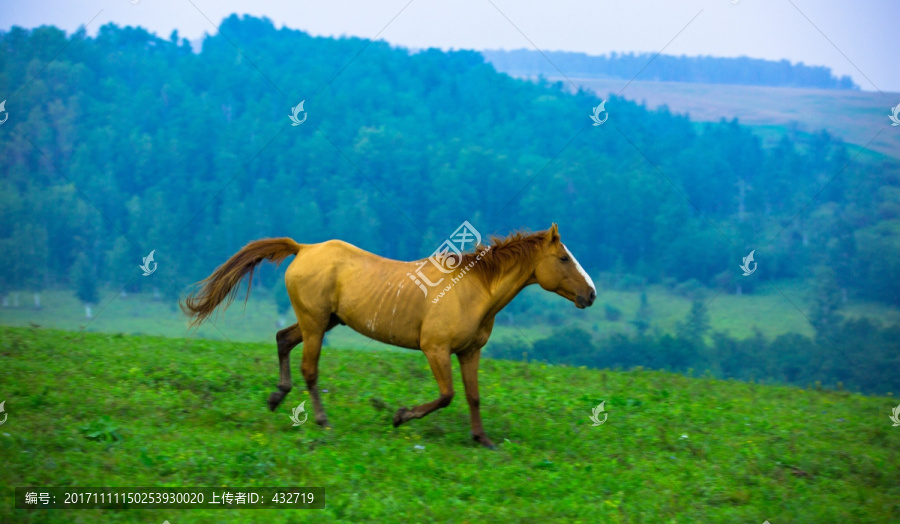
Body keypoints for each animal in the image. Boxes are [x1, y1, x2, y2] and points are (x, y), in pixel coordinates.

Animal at [179, 223, 596, 448]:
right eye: (563, 258)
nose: (590, 294)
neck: (473, 289)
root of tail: (304, 249)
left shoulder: (469, 352)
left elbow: (473, 397)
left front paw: (483, 440)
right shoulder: (435, 349)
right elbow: (447, 395)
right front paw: (400, 416)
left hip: (324, 322)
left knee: (283, 339)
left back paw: (276, 397)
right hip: (316, 324)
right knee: (310, 370)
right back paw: (322, 421)